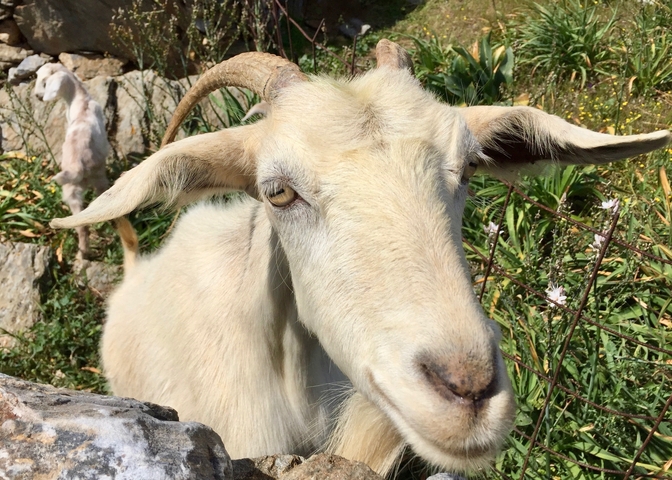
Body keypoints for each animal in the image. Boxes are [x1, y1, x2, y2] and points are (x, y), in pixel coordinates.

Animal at [35, 63, 110, 260]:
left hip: (71, 192)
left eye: (44, 82)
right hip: (99, 178)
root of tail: (77, 168)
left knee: (81, 226)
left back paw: (83, 255)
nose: (37, 96)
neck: (81, 102)